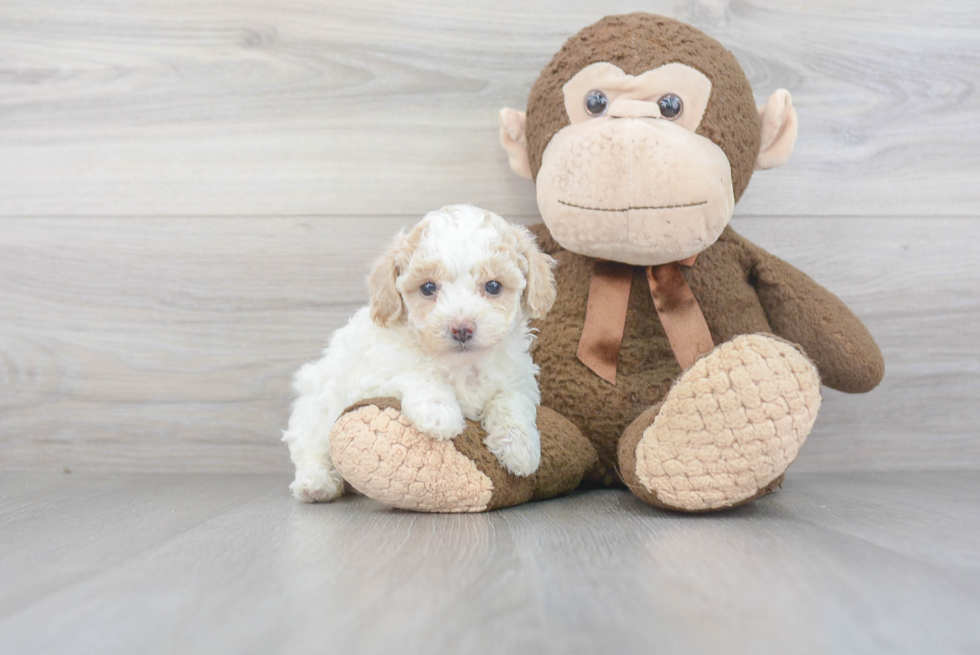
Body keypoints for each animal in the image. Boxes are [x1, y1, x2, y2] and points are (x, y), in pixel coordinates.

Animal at [286, 205, 560, 502]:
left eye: (494, 286)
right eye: (428, 287)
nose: (462, 328)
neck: (461, 364)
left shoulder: (517, 378)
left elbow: (511, 402)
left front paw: (520, 449)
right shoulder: (376, 372)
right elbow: (419, 373)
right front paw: (438, 413)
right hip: (316, 408)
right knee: (311, 449)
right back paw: (316, 483)